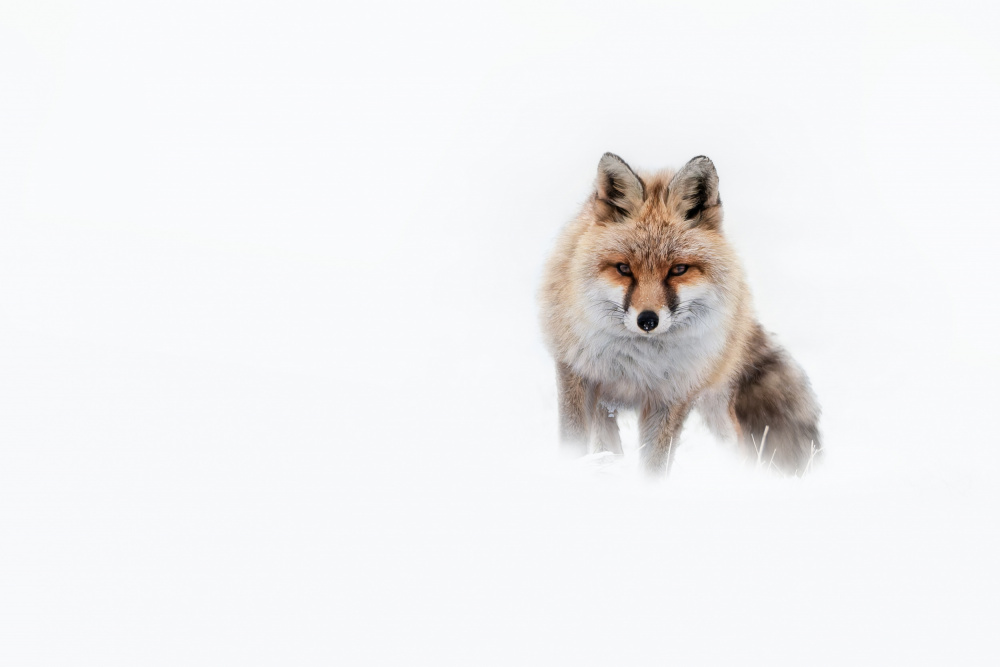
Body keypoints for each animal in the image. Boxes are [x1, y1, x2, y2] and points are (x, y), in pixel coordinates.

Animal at [539, 153, 821, 475]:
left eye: (678, 270)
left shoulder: (673, 397)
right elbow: (573, 441)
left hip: (716, 406)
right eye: (624, 269)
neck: (637, 364)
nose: (647, 320)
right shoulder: (576, 373)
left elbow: (654, 465)